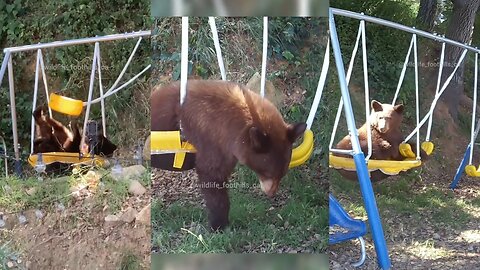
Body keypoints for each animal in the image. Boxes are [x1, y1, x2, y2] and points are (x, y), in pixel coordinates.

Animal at [152, 79, 306, 230]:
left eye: (282, 174)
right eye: (268, 173)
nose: (272, 194)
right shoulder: (212, 141)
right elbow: (212, 178)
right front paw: (219, 224)